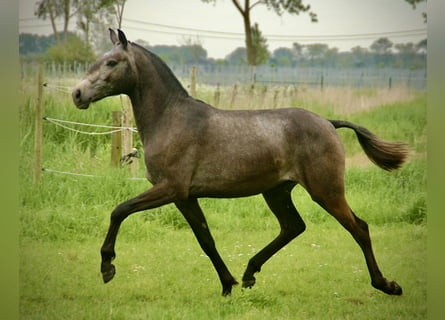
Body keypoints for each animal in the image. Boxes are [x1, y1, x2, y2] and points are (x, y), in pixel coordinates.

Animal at [72, 28, 406, 296]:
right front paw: (227, 285)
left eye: (112, 62)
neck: (171, 119)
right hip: (277, 191)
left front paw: (107, 267)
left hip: (326, 191)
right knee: (293, 227)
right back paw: (248, 274)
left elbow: (120, 210)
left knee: (359, 228)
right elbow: (206, 240)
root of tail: (328, 122)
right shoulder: (186, 197)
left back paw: (387, 285)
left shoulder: (170, 189)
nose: (77, 94)